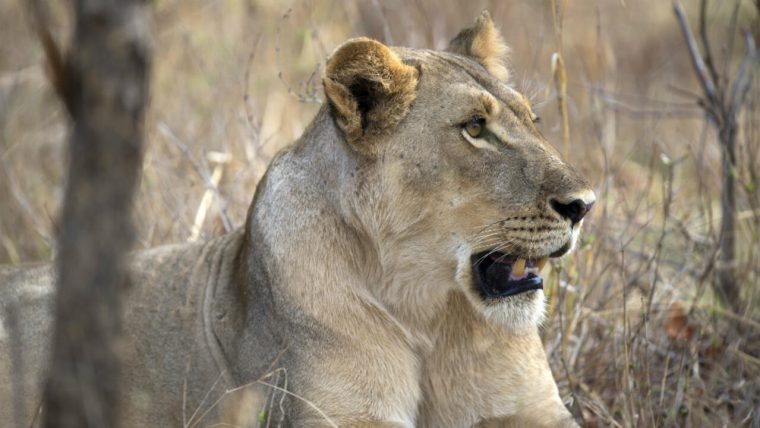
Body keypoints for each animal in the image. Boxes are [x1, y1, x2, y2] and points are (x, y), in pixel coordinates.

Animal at [0, 11, 594, 427]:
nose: (585, 204)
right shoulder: (340, 415)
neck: (430, 312)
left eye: (534, 121)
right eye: (474, 127)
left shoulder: (534, 410)